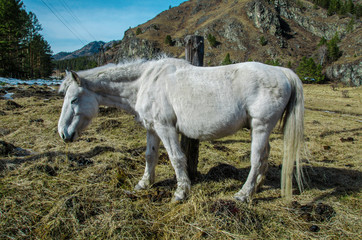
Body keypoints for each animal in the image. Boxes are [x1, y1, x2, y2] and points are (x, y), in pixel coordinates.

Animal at [58, 57, 304, 202]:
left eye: (74, 99)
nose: (63, 134)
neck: (146, 81)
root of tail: (282, 72)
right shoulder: (153, 129)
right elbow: (150, 156)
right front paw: (144, 183)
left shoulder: (165, 128)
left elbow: (176, 158)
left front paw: (181, 192)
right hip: (258, 129)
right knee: (264, 156)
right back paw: (257, 186)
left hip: (261, 127)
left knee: (256, 159)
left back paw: (243, 194)